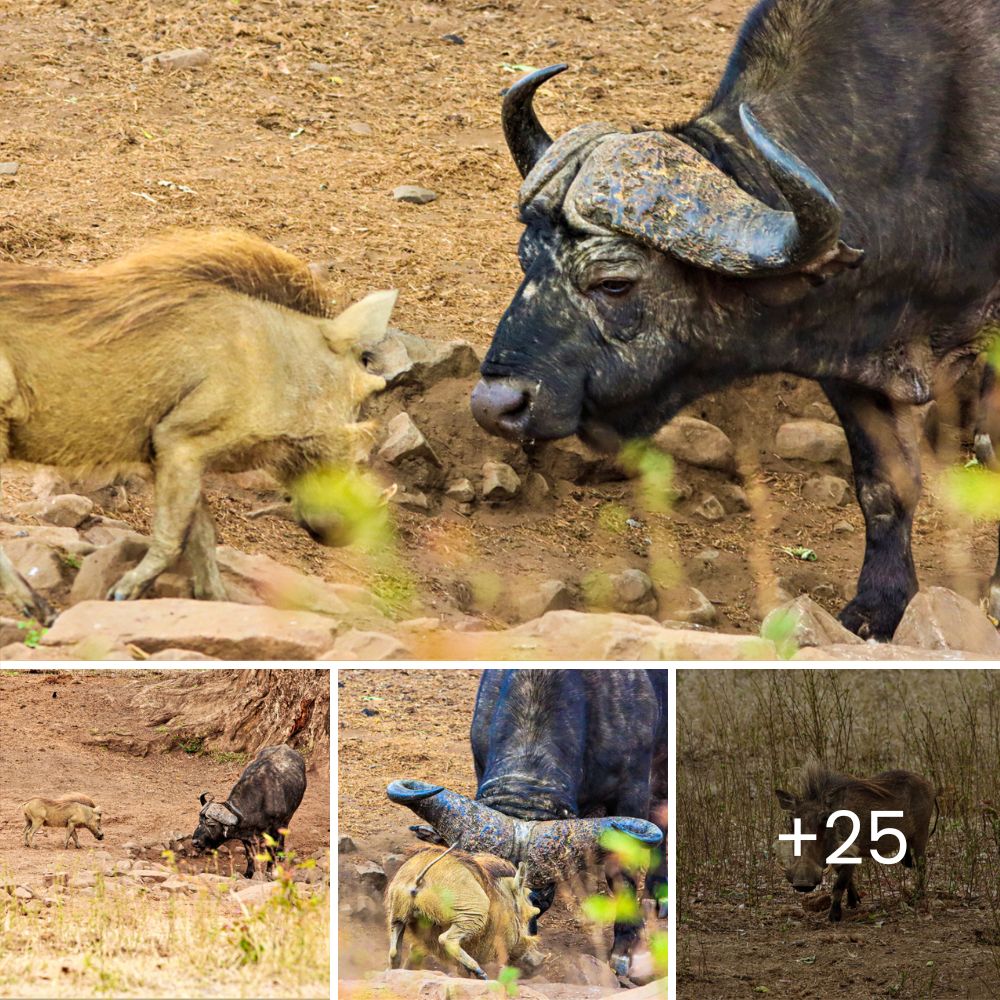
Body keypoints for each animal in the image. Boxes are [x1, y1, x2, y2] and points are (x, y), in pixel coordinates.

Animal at [192, 744, 304, 876]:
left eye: (212, 824)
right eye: (199, 821)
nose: (195, 842)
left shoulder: (274, 830)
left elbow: (271, 853)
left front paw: (269, 871)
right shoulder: (245, 836)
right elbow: (249, 855)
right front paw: (249, 872)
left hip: (289, 815)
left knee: (284, 829)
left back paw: (280, 852)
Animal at [472, 0, 1000, 640]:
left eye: (614, 282)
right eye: (526, 259)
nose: (495, 404)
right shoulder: (850, 361)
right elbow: (883, 487)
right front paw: (878, 606)